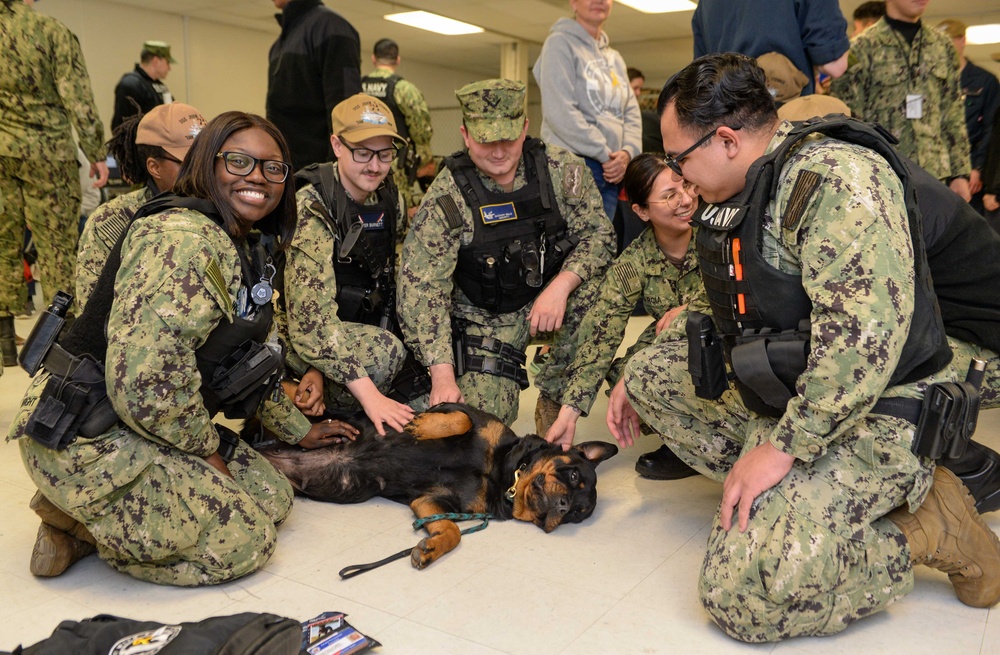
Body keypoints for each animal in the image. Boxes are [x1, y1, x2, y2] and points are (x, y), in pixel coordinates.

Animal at [256, 402, 616, 568]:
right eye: (574, 476)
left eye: (577, 514)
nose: (564, 507)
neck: (501, 474)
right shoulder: (459, 411)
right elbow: (460, 418)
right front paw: (419, 427)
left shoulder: (433, 502)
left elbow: (453, 531)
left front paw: (432, 548)